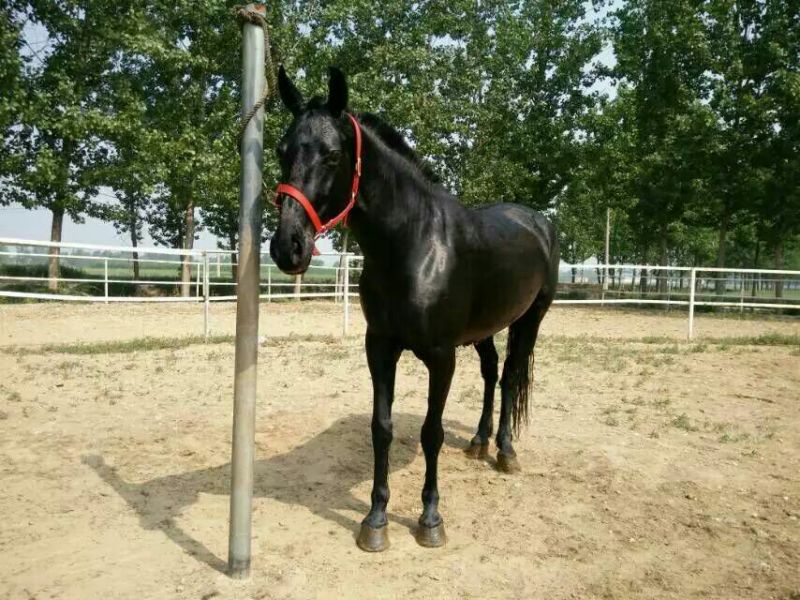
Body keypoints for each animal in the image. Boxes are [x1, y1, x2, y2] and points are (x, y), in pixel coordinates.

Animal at [269, 66, 560, 552]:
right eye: (281, 150)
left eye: (332, 155)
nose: (287, 247)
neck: (415, 244)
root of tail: (539, 222)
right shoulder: (380, 348)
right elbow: (382, 427)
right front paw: (375, 520)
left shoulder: (441, 358)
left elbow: (431, 431)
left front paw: (430, 519)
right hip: (482, 331)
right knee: (492, 372)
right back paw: (479, 442)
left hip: (529, 320)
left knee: (511, 376)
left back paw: (504, 451)